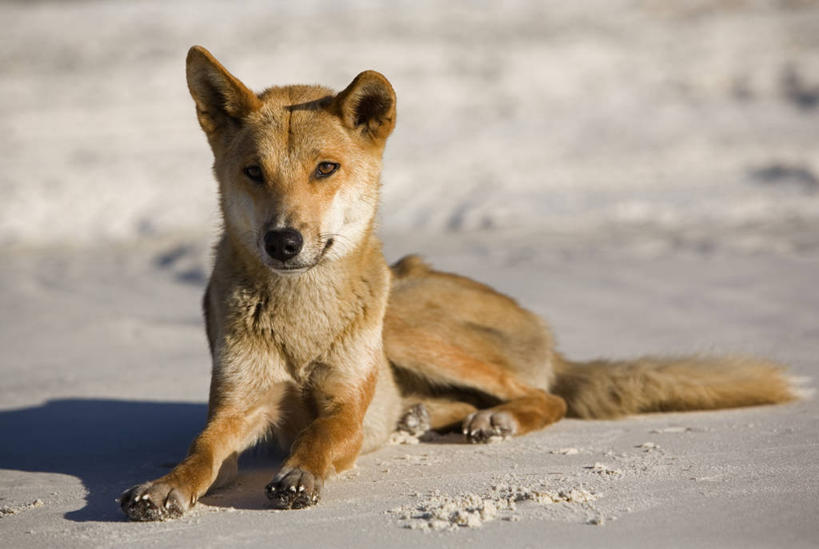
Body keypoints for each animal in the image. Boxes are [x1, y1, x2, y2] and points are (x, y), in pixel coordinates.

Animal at [118, 46, 796, 520]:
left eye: (325, 169)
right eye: (254, 172)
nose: (283, 242)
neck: (300, 317)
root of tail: (547, 336)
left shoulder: (347, 405)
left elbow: (321, 433)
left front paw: (300, 473)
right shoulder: (240, 406)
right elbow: (202, 451)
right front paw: (164, 486)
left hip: (410, 326)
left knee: (545, 396)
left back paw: (495, 420)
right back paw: (426, 417)